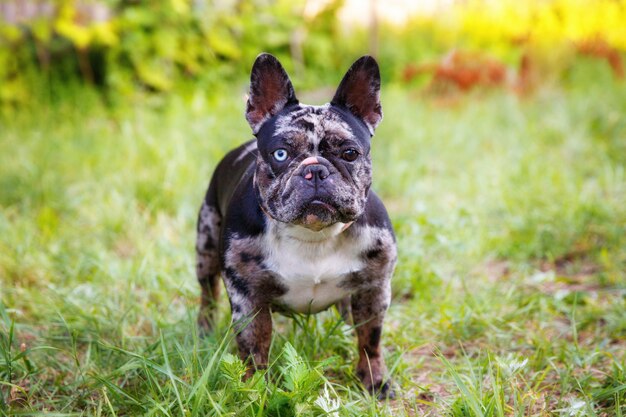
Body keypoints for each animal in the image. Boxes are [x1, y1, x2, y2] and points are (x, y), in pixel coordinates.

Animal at [196, 52, 394, 396]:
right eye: (280, 154)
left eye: (350, 153)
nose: (315, 170)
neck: (313, 236)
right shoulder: (248, 299)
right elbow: (255, 346)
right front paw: (254, 389)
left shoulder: (375, 288)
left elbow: (370, 339)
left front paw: (374, 379)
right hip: (205, 246)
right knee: (207, 291)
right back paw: (205, 329)